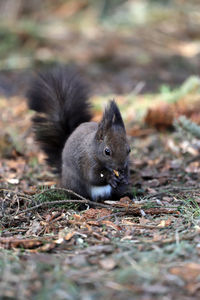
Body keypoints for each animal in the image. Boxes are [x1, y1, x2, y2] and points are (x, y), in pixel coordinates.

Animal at [27, 67, 131, 202]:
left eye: (129, 150)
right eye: (107, 151)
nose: (120, 168)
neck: (93, 148)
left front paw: (125, 177)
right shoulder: (87, 161)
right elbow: (93, 176)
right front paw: (110, 177)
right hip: (75, 183)